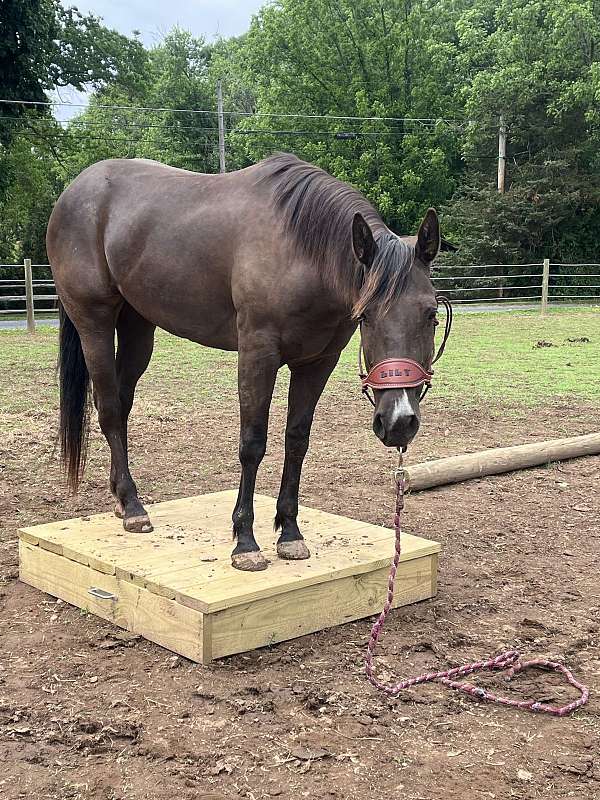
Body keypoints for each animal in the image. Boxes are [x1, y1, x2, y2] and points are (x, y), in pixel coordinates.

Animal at [47, 154, 443, 572]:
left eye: (432, 315)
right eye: (366, 316)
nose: (398, 422)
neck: (301, 250)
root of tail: (76, 190)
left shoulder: (318, 362)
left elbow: (297, 440)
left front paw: (290, 532)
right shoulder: (257, 352)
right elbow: (252, 443)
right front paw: (246, 542)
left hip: (138, 325)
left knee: (122, 406)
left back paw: (125, 502)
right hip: (94, 322)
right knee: (108, 408)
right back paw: (134, 506)